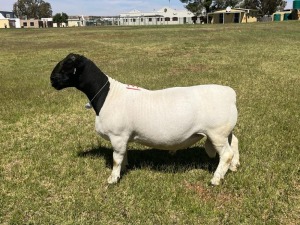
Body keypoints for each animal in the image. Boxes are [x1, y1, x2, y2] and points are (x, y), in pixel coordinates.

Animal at [50, 53, 240, 185]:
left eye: (67, 65)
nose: (51, 80)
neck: (107, 95)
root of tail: (230, 94)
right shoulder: (123, 137)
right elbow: (123, 155)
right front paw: (124, 169)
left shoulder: (117, 135)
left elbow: (116, 159)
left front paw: (113, 179)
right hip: (225, 131)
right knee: (235, 143)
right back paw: (234, 167)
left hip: (216, 133)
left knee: (226, 154)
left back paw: (216, 179)